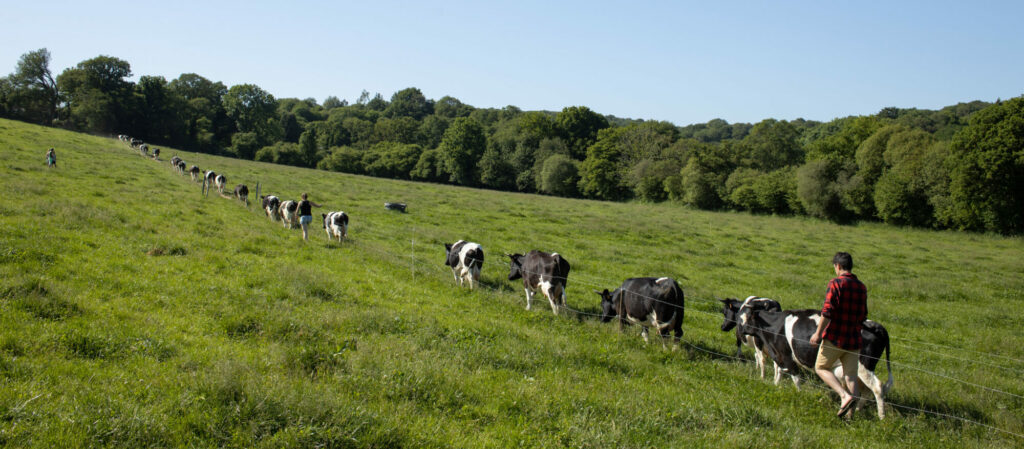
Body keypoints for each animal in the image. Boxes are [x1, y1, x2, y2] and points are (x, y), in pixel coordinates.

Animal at [745, 309, 897, 418]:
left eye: (747, 319)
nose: (743, 330)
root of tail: (877, 326)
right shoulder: (781, 356)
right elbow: (781, 371)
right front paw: (776, 384)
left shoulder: (786, 355)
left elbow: (795, 377)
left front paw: (798, 393)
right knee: (864, 390)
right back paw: (857, 409)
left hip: (864, 365)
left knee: (877, 387)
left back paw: (881, 416)